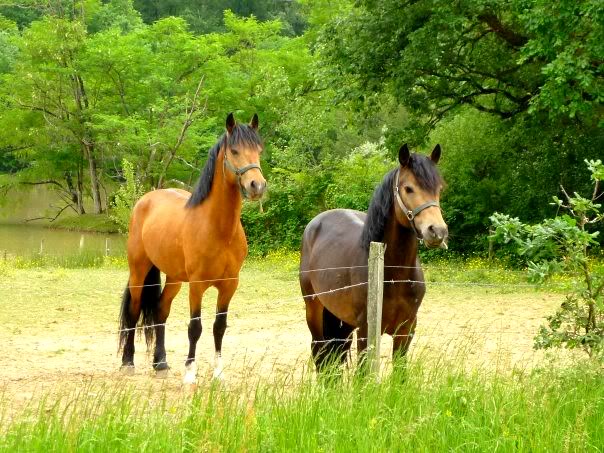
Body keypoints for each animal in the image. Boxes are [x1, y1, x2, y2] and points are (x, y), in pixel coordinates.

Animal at [119, 113, 266, 382]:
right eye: (235, 150)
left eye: (259, 150)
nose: (257, 186)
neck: (219, 230)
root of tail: (145, 200)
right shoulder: (197, 285)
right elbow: (195, 327)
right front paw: (190, 372)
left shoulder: (229, 285)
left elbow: (219, 326)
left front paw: (218, 372)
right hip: (139, 271)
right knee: (134, 312)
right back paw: (128, 362)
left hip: (174, 277)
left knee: (161, 311)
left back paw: (161, 363)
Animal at [300, 143, 446, 370]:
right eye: (408, 188)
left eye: (439, 189)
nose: (437, 231)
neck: (394, 275)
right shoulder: (366, 331)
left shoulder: (406, 331)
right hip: (314, 310)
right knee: (320, 353)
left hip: (341, 320)